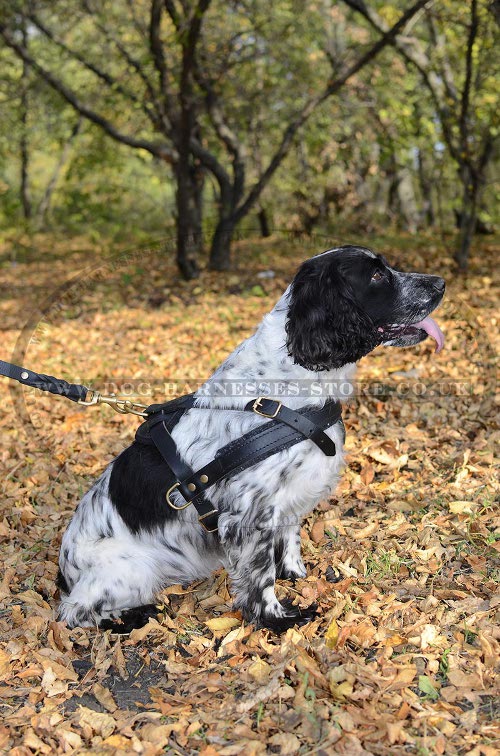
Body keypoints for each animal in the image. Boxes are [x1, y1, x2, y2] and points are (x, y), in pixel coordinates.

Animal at [57, 247, 446, 632]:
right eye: (377, 275)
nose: (441, 283)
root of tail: (64, 571)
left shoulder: (286, 498)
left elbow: (290, 539)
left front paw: (295, 575)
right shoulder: (248, 514)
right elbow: (260, 575)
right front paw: (278, 619)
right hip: (128, 568)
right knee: (74, 613)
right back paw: (135, 615)